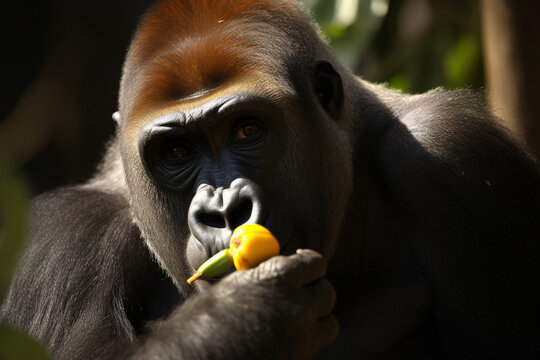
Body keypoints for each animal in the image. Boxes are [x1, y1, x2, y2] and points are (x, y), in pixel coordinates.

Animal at [3, 0, 540, 360]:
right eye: (176, 152)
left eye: (248, 129)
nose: (224, 212)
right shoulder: (67, 240)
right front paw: (244, 319)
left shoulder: (455, 154)